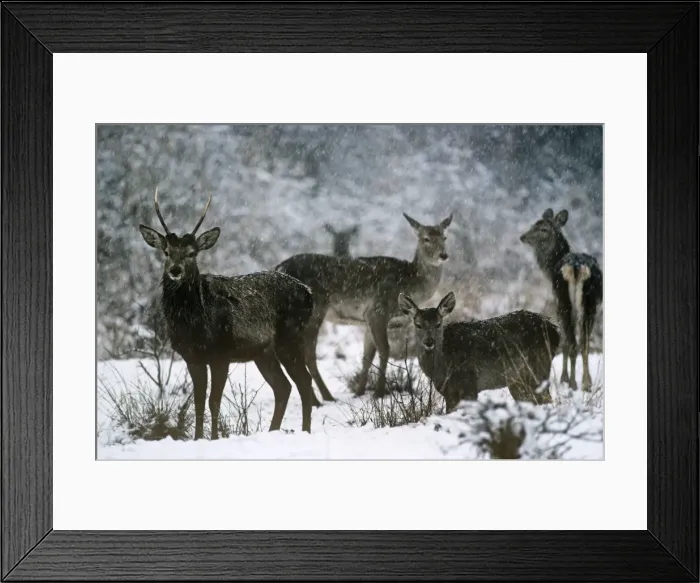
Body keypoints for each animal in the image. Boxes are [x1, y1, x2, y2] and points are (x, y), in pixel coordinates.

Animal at [138, 187, 317, 438]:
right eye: (166, 251)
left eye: (192, 253)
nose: (175, 270)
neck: (193, 323)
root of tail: (308, 293)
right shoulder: (192, 357)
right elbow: (198, 402)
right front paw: (198, 438)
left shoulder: (221, 353)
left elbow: (214, 401)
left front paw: (213, 438)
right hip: (263, 351)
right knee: (283, 386)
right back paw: (273, 431)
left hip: (290, 337)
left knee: (304, 381)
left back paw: (305, 431)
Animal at [275, 212, 453, 400]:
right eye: (426, 238)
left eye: (444, 237)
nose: (443, 255)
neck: (410, 283)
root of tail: (279, 268)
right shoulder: (378, 311)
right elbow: (385, 351)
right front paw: (379, 393)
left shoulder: (367, 321)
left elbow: (367, 357)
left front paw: (359, 392)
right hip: (314, 311)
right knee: (307, 354)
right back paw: (325, 397)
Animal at [398, 291, 559, 412]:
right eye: (418, 325)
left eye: (438, 324)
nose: (429, 341)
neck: (441, 369)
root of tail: (554, 330)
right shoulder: (448, 392)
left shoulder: (469, 384)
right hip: (518, 380)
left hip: (537, 367)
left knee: (546, 400)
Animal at [519, 208, 603, 391]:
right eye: (534, 224)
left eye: (543, 229)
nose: (523, 237)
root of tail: (576, 267)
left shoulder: (557, 302)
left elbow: (564, 341)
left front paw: (564, 379)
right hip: (589, 304)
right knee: (584, 342)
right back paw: (586, 383)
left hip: (564, 301)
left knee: (571, 342)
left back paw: (572, 382)